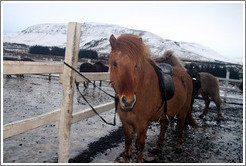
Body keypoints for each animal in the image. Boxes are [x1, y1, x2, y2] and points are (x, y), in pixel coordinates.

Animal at [109, 33, 198, 162]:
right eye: (114, 64)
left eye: (136, 66)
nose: (128, 101)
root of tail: (186, 74)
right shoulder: (125, 121)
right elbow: (128, 140)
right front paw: (126, 158)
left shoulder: (143, 123)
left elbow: (139, 144)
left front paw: (139, 160)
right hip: (166, 112)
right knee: (164, 126)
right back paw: (157, 147)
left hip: (183, 110)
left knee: (180, 126)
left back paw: (179, 146)